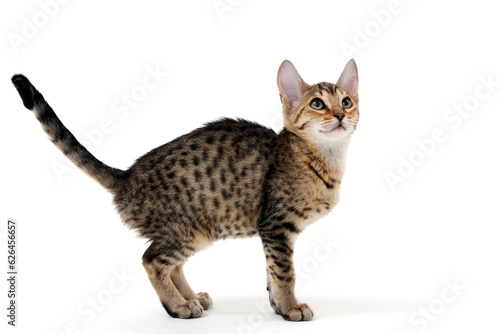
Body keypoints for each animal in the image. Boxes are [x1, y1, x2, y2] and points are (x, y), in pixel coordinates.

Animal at [11, 59, 360, 320]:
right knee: (152, 259)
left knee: (172, 264)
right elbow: (284, 272)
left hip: (191, 229)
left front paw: (277, 305)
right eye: (317, 104)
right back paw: (177, 305)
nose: (340, 115)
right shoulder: (275, 225)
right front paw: (290, 307)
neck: (324, 159)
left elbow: (271, 273)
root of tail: (127, 177)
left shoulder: (275, 232)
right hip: (189, 228)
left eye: (347, 101)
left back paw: (191, 297)